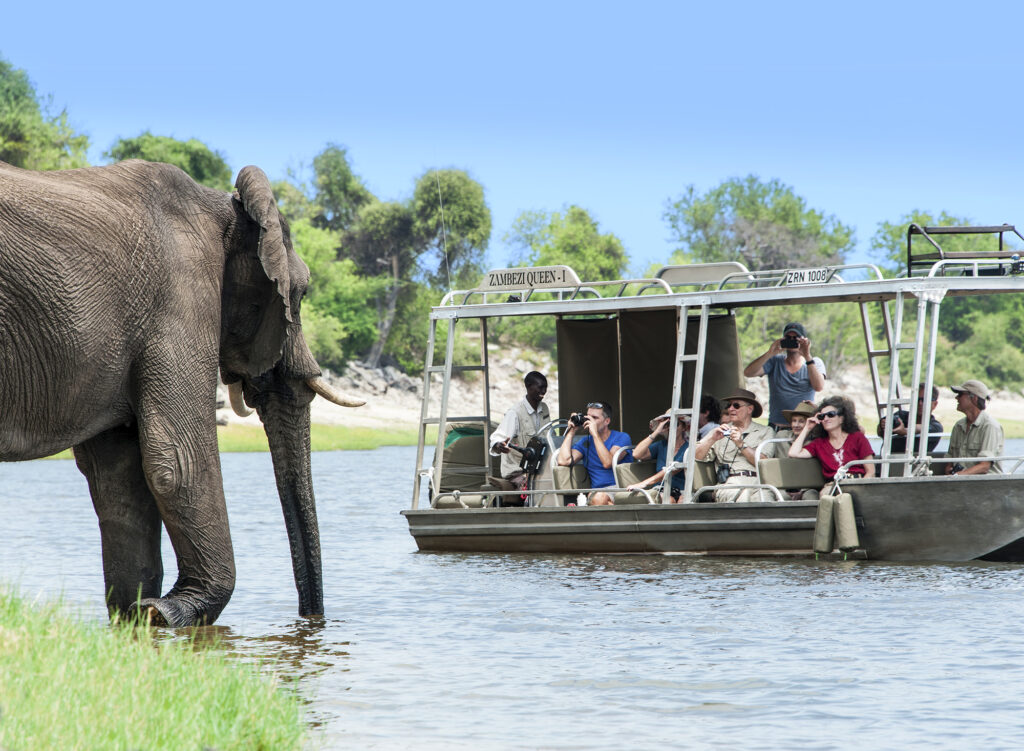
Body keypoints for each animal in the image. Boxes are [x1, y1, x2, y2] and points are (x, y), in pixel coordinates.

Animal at [0, 157, 362, 627]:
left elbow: (117, 476)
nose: (311, 623)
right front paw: (168, 612)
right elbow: (177, 460)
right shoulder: (179, 300)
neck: (226, 210)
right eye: (300, 294)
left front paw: (136, 615)